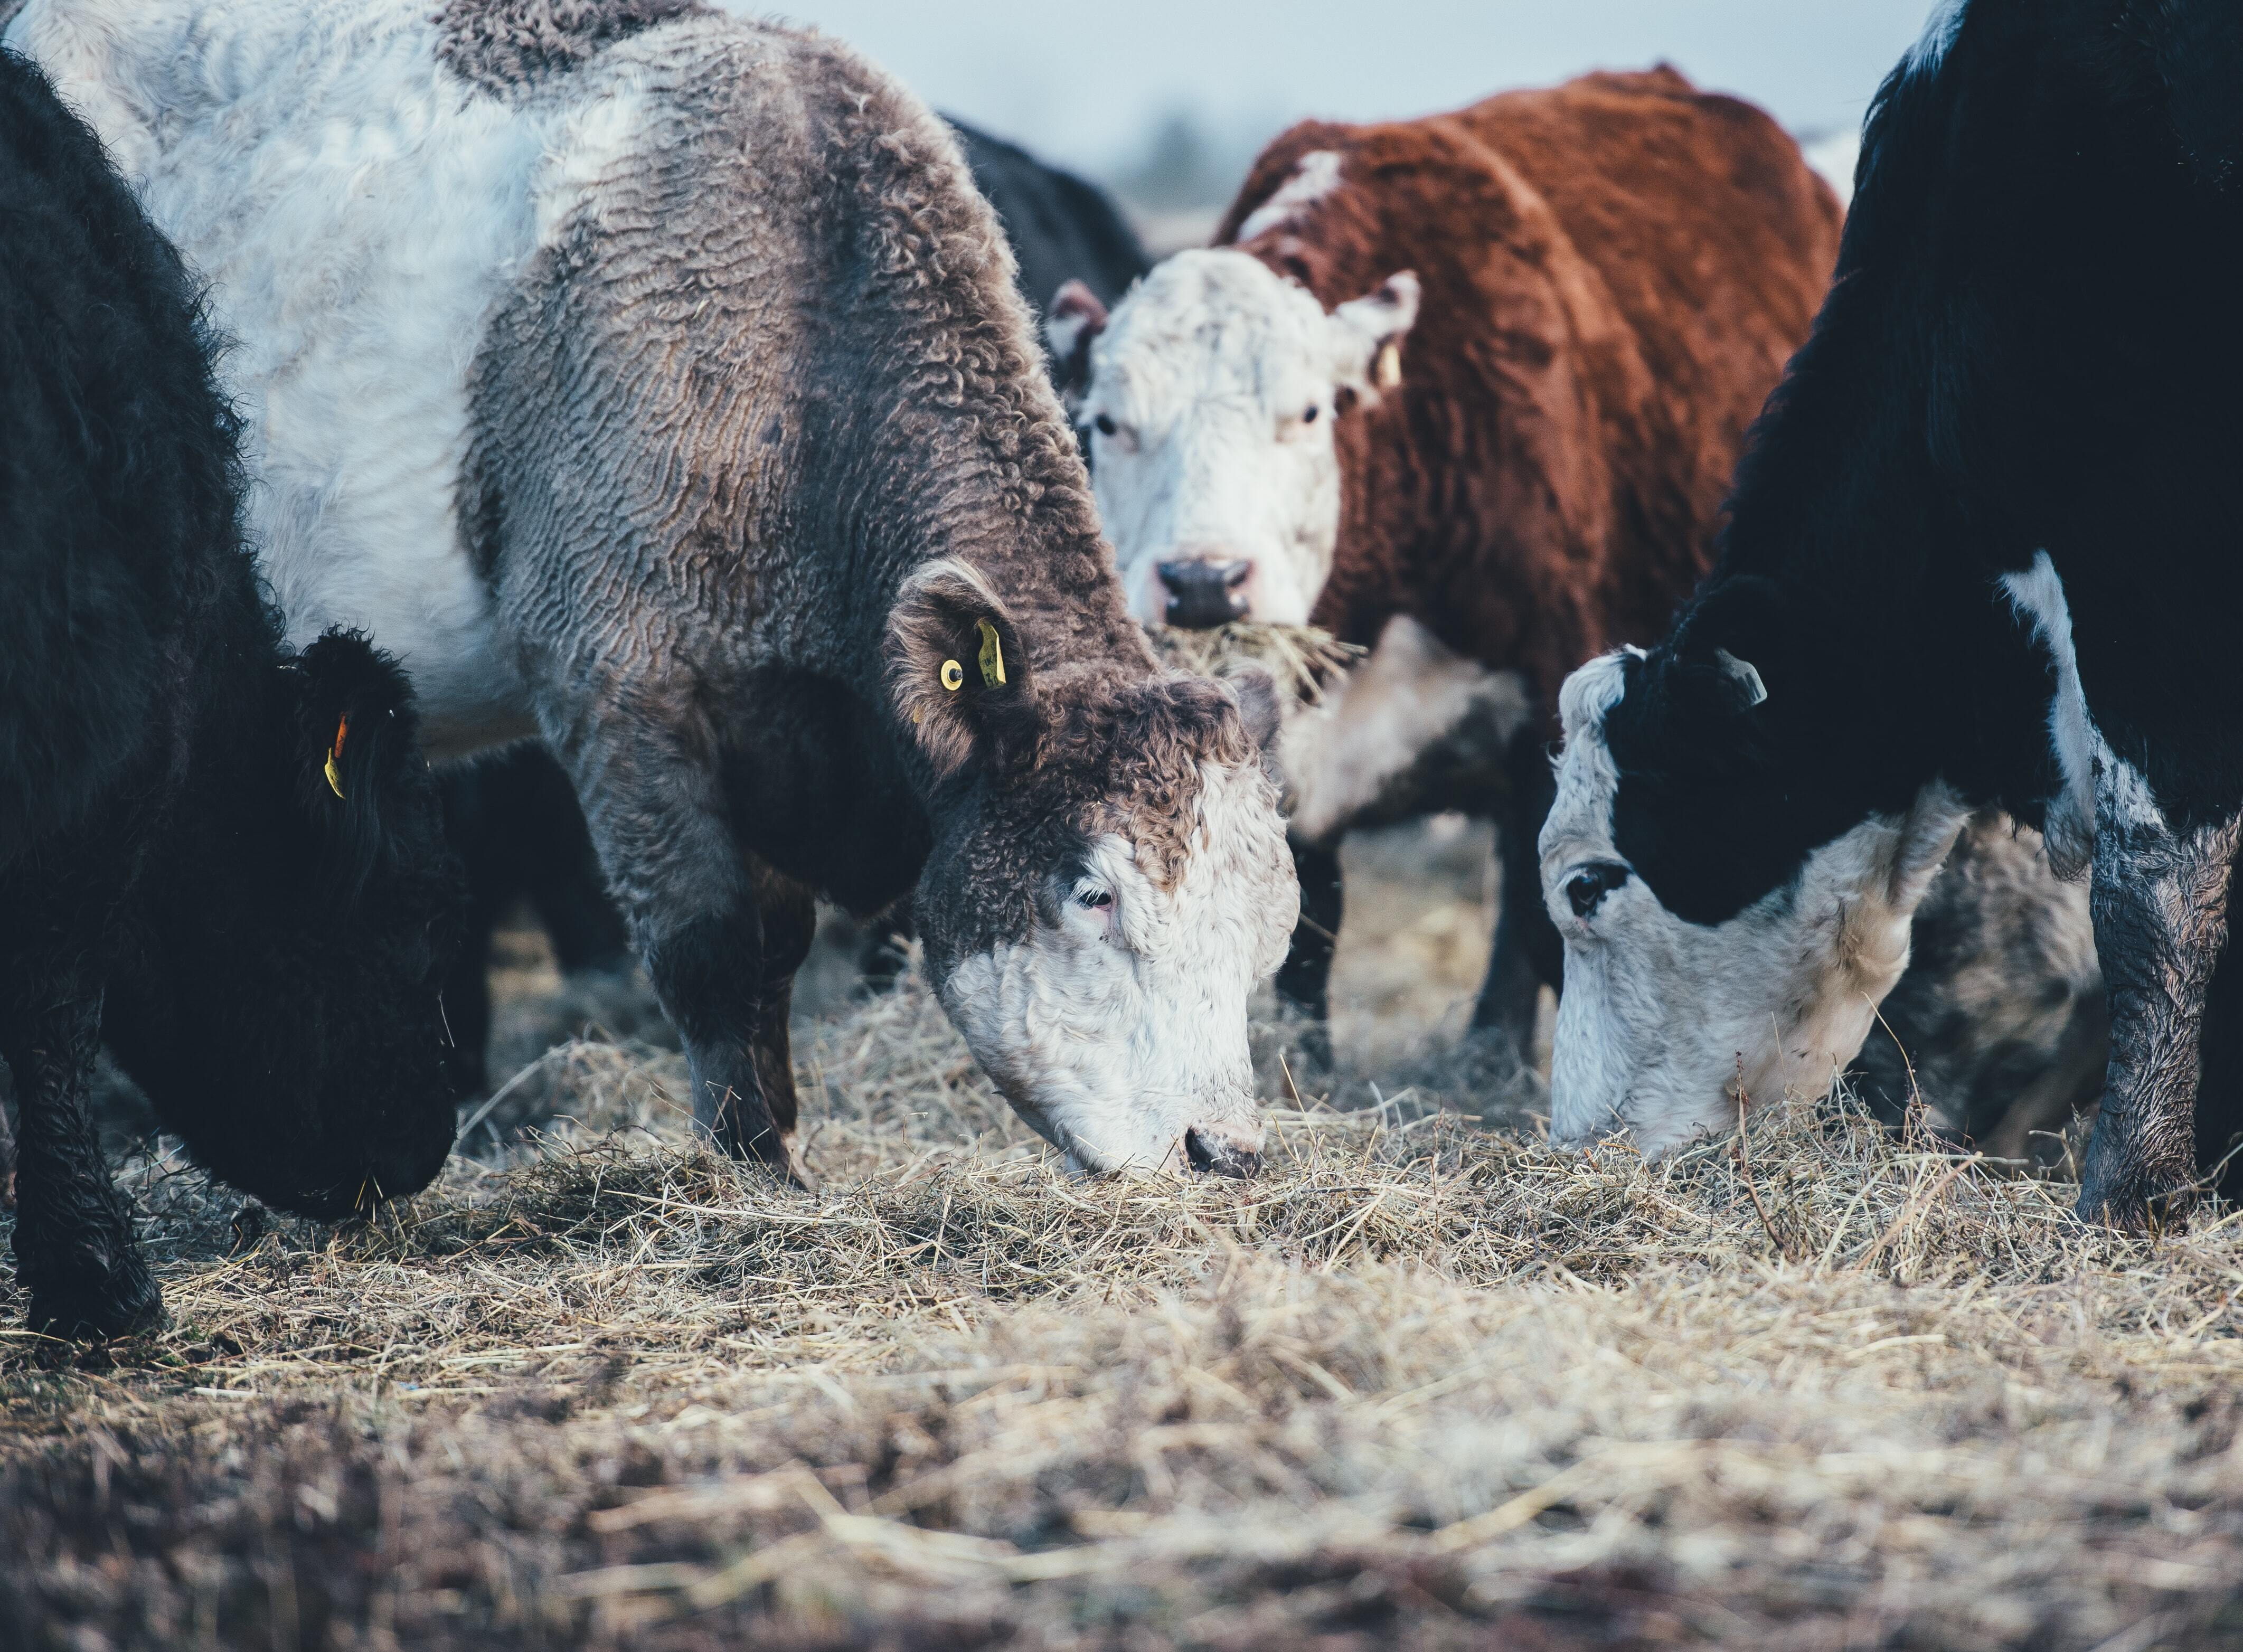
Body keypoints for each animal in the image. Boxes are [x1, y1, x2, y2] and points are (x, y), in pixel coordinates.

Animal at [8, 3, 1300, 1183]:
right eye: (1091, 892)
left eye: (1268, 920)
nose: (1223, 1148)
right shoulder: (617, 687)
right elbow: (711, 949)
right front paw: (754, 1175)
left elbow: (773, 953)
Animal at [1041, 71, 1848, 1062]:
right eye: (1109, 423)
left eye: (1308, 412)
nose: (1203, 583)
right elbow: (1306, 922)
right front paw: (1303, 1060)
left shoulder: (1554, 702)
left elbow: (1542, 912)